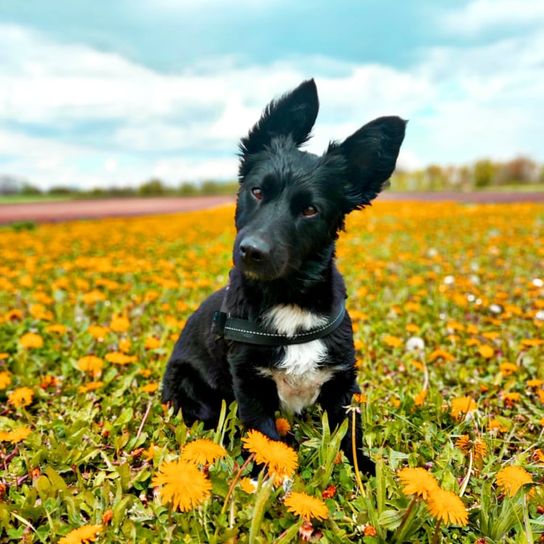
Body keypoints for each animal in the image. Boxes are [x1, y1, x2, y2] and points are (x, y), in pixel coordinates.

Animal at [164, 78, 406, 474]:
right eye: (257, 190)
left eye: (310, 210)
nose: (251, 251)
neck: (288, 299)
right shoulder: (250, 386)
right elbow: (264, 439)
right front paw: (269, 476)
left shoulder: (343, 383)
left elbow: (350, 437)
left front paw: (365, 471)